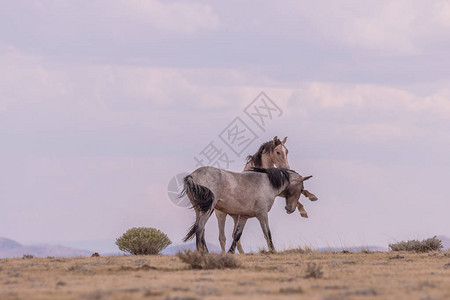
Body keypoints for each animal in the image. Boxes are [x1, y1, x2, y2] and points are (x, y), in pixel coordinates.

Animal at [181, 166, 312, 253]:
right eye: (301, 189)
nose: (290, 209)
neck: (267, 183)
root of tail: (192, 176)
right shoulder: (262, 214)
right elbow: (267, 233)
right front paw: (273, 250)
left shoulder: (244, 217)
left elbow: (237, 234)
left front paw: (230, 252)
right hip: (208, 210)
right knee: (200, 227)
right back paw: (201, 253)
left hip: (200, 210)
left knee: (201, 229)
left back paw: (206, 252)